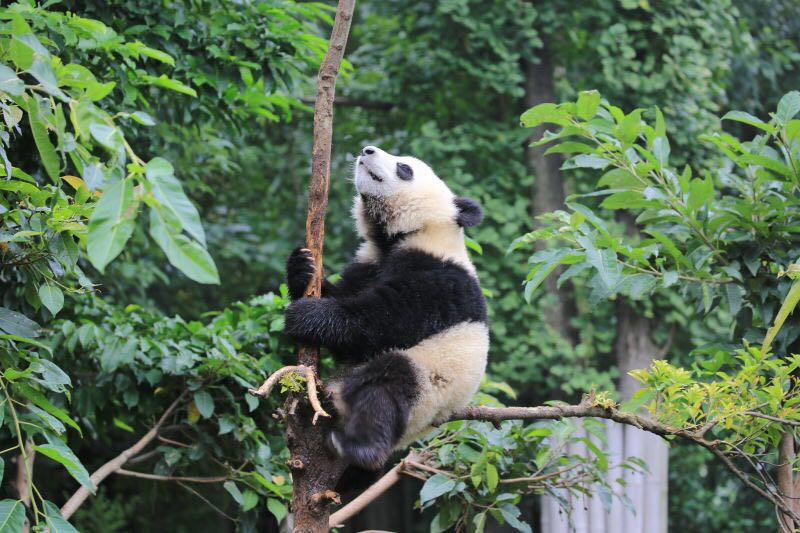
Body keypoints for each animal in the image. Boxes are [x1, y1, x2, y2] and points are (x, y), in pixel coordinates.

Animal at [286, 144, 488, 470]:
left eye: (404, 168)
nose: (367, 149)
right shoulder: (368, 264)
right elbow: (347, 328)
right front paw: (301, 268)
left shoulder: (440, 280)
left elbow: (383, 321)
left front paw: (306, 316)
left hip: (429, 387)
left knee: (389, 384)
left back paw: (358, 447)